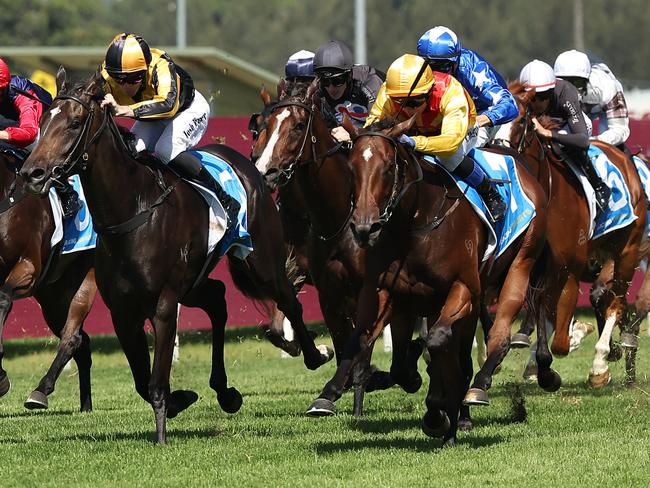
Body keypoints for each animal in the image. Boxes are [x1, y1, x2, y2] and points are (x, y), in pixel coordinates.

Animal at [0, 148, 96, 412]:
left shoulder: (29, 266)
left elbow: (3, 299)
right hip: (53, 298)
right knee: (83, 343)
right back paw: (85, 406)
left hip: (85, 281)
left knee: (72, 337)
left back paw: (40, 390)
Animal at [18, 68, 332, 442]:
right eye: (44, 120)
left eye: (75, 122)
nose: (31, 173)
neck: (132, 210)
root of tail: (249, 166)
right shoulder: (123, 312)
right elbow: (143, 380)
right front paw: (179, 399)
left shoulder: (165, 304)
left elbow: (155, 380)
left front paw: (162, 434)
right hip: (194, 282)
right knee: (218, 299)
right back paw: (225, 392)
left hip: (262, 261)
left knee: (288, 300)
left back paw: (314, 354)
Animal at [506, 84, 644, 388]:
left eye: (521, 121)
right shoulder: (537, 267)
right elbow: (543, 314)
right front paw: (540, 364)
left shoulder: (570, 266)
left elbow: (561, 340)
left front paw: (579, 333)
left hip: (627, 253)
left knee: (616, 302)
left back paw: (601, 363)